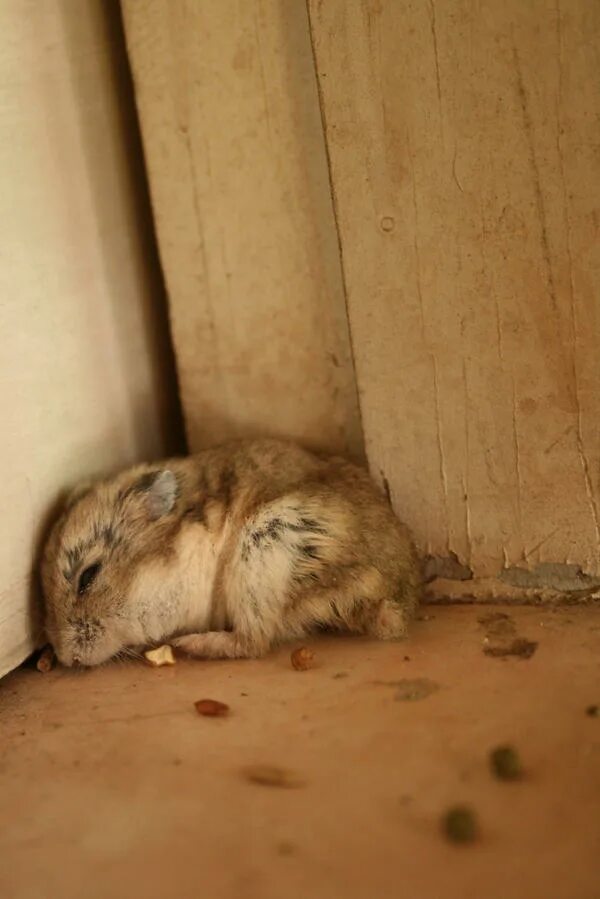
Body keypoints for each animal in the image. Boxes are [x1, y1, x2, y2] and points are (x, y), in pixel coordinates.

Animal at [41, 440, 422, 664]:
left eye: (88, 576)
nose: (66, 658)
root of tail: (396, 597)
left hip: (264, 546)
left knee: (254, 641)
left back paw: (188, 643)